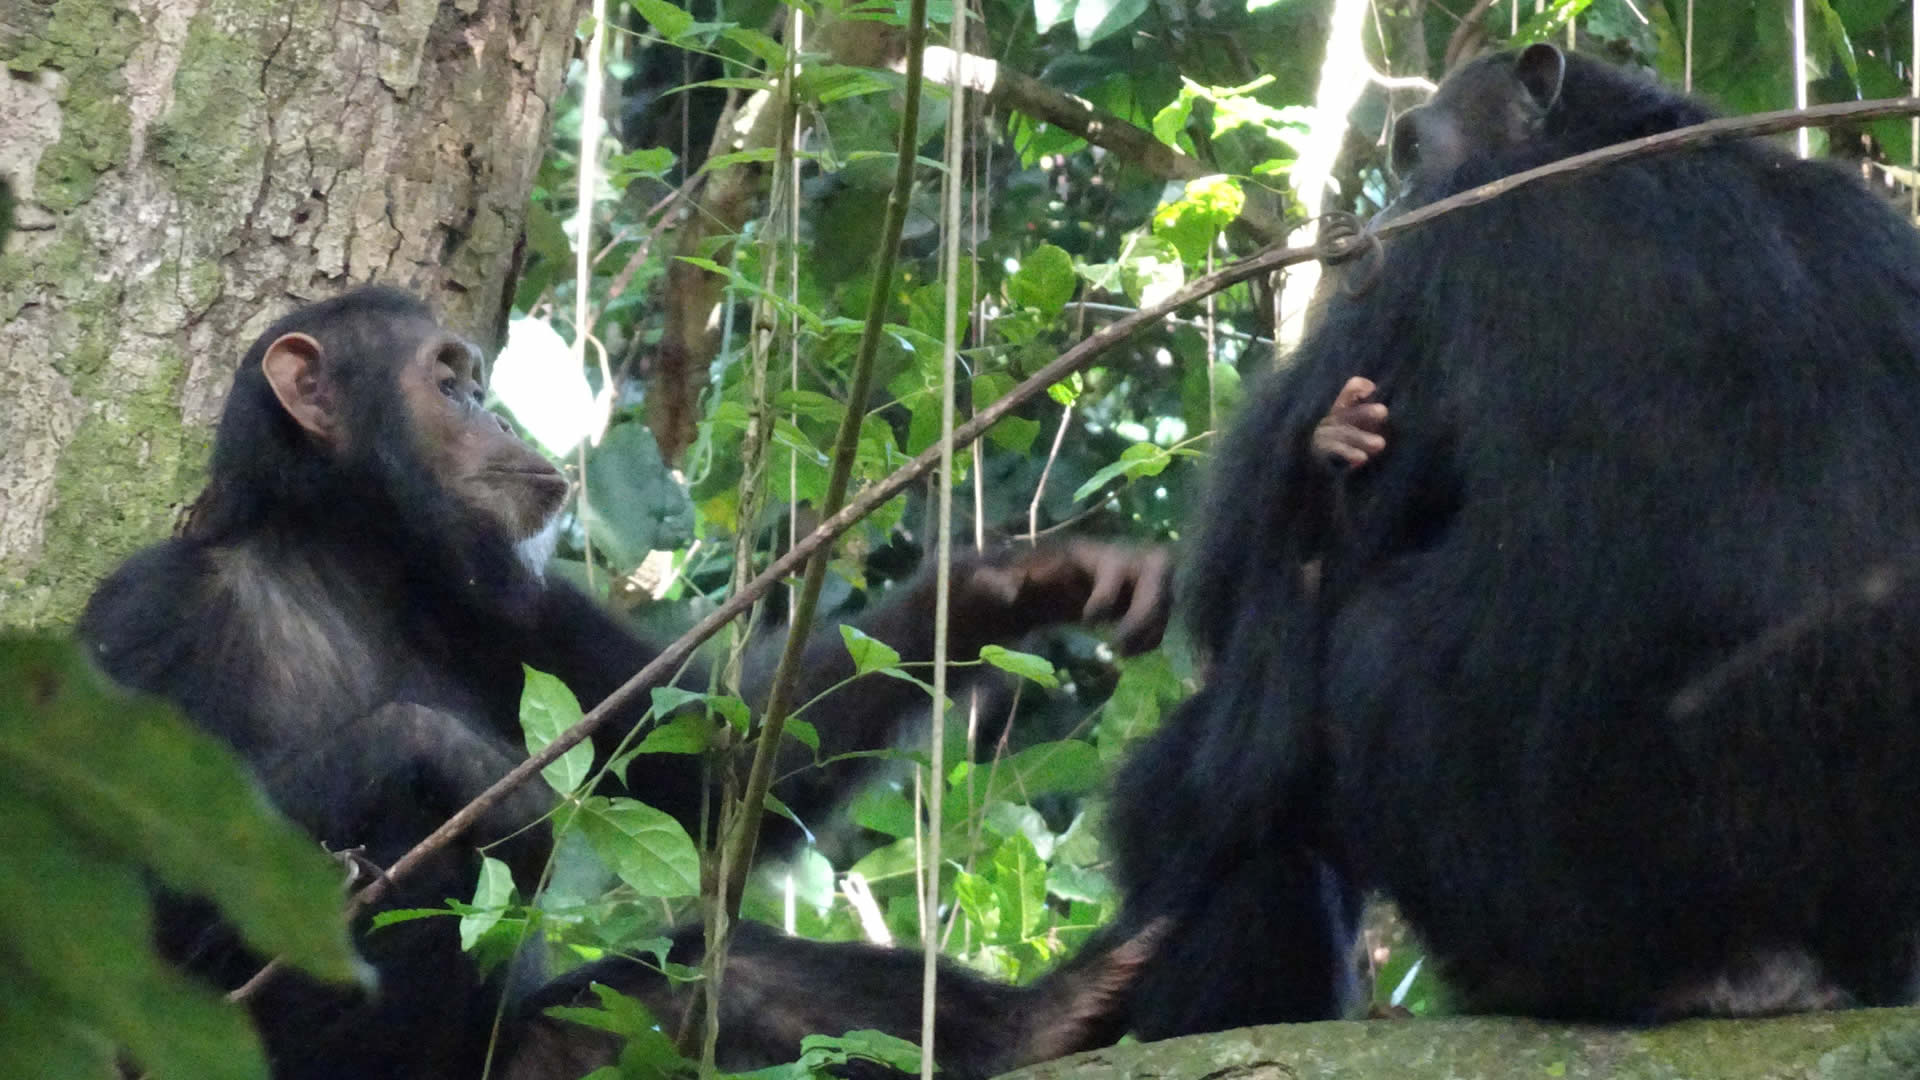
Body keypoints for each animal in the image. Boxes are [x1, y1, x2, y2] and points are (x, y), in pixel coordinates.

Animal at [78, 288, 1167, 1076]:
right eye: (448, 384)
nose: (501, 417)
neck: (347, 559)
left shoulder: (525, 611)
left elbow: (709, 775)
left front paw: (1012, 585)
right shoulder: (141, 618)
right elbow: (119, 893)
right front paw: (457, 760)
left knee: (706, 976)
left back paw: (1043, 1021)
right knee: (409, 855)